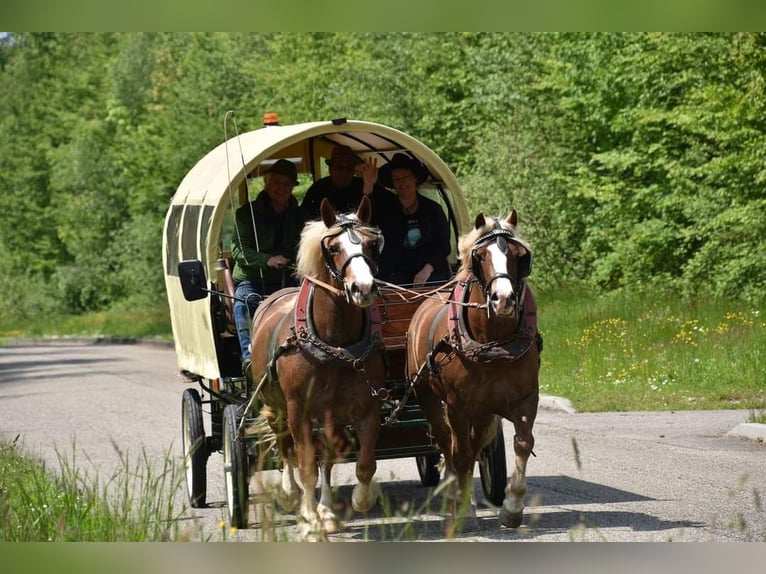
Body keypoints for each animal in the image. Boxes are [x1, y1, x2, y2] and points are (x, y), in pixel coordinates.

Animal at [247, 196, 388, 541]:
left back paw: (327, 512)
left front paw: (358, 501)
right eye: (334, 247)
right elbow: (306, 465)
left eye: (371, 244)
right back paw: (291, 496)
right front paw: (309, 521)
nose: (363, 288)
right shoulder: (297, 408)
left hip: (327, 415)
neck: (334, 344)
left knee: (326, 454)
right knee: (286, 448)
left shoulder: (368, 408)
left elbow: (362, 464)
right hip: (277, 406)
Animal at [406, 209, 541, 532]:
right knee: (449, 444)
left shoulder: (526, 398)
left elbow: (523, 443)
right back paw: (452, 499)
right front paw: (463, 512)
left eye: (519, 255)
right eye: (480, 256)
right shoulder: (457, 406)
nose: (503, 299)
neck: (493, 341)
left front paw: (512, 508)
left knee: (473, 445)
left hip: (482, 411)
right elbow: (461, 454)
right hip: (430, 398)